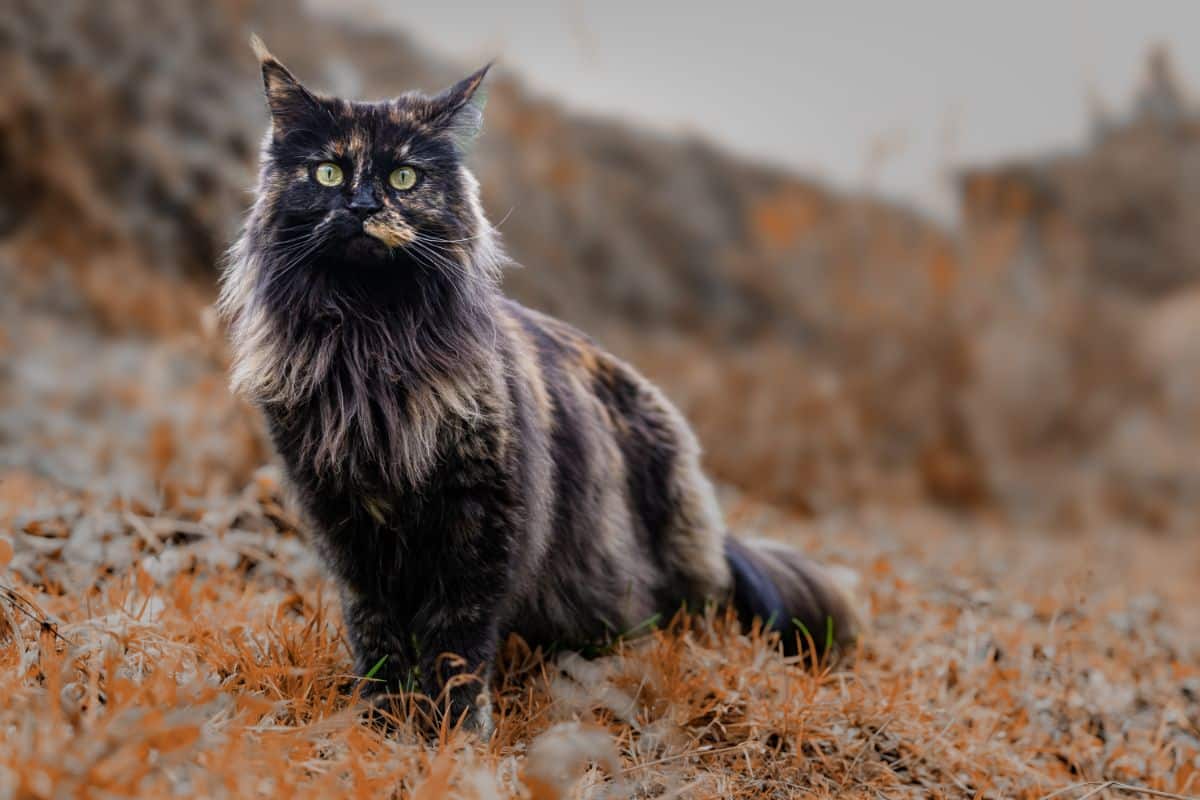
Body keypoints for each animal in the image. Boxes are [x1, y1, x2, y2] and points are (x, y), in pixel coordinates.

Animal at [223, 37, 864, 738]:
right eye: (328, 174)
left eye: (404, 178)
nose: (363, 208)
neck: (371, 339)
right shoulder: (346, 522)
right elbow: (377, 632)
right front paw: (382, 725)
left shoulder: (484, 518)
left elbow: (456, 640)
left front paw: (452, 732)